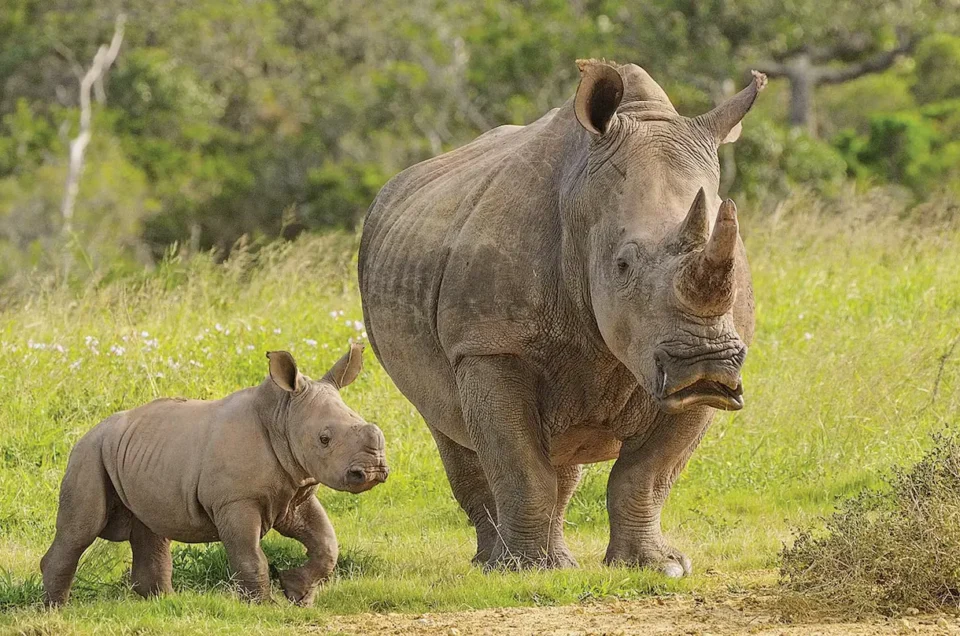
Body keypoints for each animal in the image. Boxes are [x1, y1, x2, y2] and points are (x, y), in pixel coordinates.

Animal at [41, 344, 388, 605]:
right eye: (324, 439)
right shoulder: (235, 501)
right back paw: (56, 609)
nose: (374, 471)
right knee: (80, 531)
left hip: (135, 452)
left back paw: (161, 604)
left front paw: (296, 593)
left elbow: (327, 544)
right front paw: (264, 607)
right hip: (89, 454)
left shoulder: (295, 490)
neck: (282, 416)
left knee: (151, 528)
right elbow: (249, 555)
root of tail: (88, 432)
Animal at [358, 60, 764, 575]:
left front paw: (656, 567)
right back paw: (497, 564)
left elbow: (647, 474)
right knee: (449, 427)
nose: (705, 363)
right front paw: (520, 571)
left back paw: (557, 563)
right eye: (622, 265)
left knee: (562, 456)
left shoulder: (703, 370)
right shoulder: (489, 346)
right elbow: (520, 467)